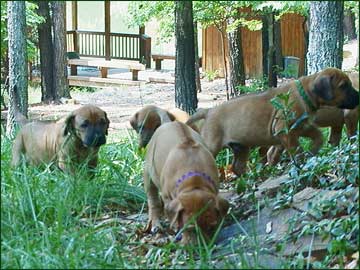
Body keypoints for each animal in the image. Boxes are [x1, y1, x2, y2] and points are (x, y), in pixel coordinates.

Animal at [187, 67, 358, 176]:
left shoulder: (301, 126)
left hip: (241, 147)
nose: (358, 96)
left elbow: (318, 136)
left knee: (237, 167)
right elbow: (296, 150)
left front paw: (313, 151)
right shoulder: (285, 130)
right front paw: (302, 162)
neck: (305, 93)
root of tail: (208, 111)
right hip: (212, 145)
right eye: (343, 86)